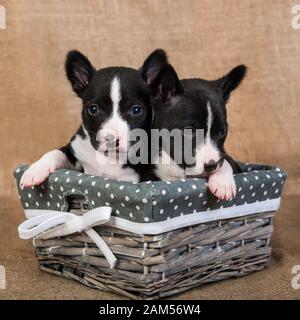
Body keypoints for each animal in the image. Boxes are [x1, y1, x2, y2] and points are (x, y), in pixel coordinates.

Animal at [20, 48, 169, 186]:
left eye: (136, 110)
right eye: (93, 109)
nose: (112, 139)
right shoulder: (75, 151)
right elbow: (57, 152)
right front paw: (35, 170)